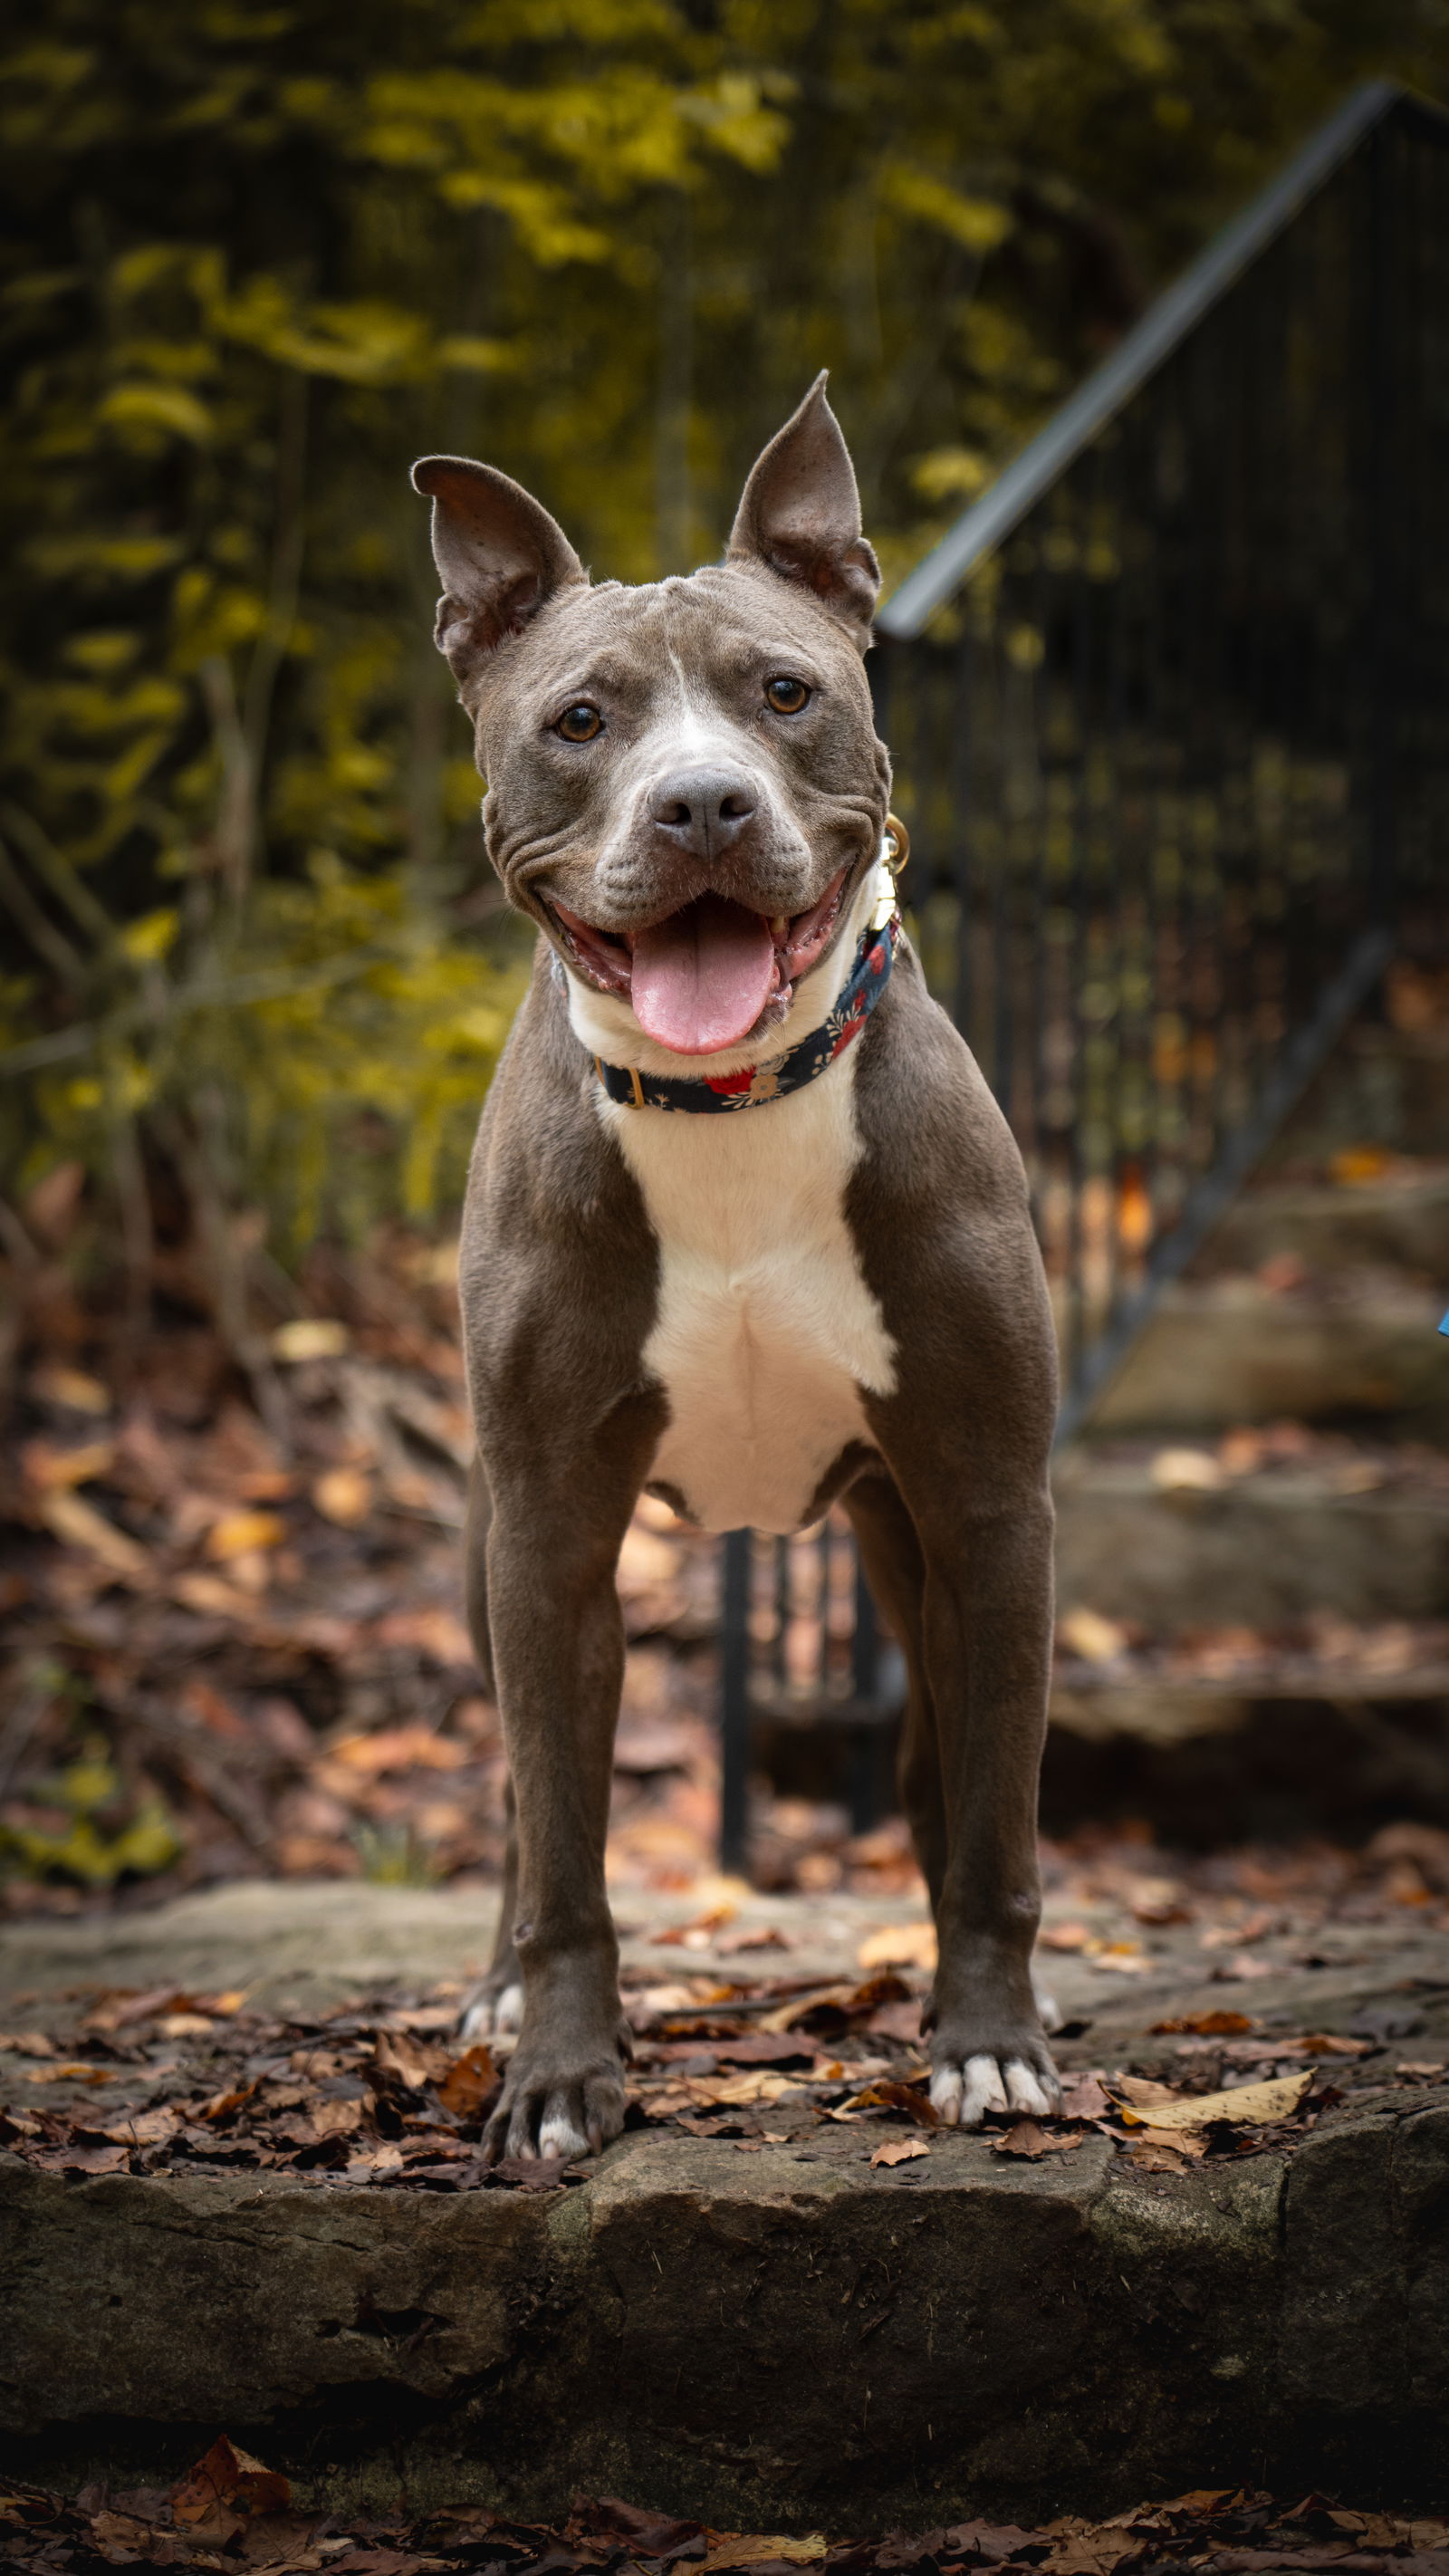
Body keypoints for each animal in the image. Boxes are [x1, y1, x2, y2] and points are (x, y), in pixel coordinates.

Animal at [414, 373, 1060, 2163]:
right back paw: (495, 1993)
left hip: (914, 1543)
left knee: (942, 1771)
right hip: (490, 1546)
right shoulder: (552, 1529)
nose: (702, 802)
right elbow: (565, 1847)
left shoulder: (992, 1499)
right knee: (521, 1813)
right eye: (580, 721)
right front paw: (562, 2072)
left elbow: (997, 1825)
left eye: (785, 692)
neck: (732, 1100)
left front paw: (991, 2043)